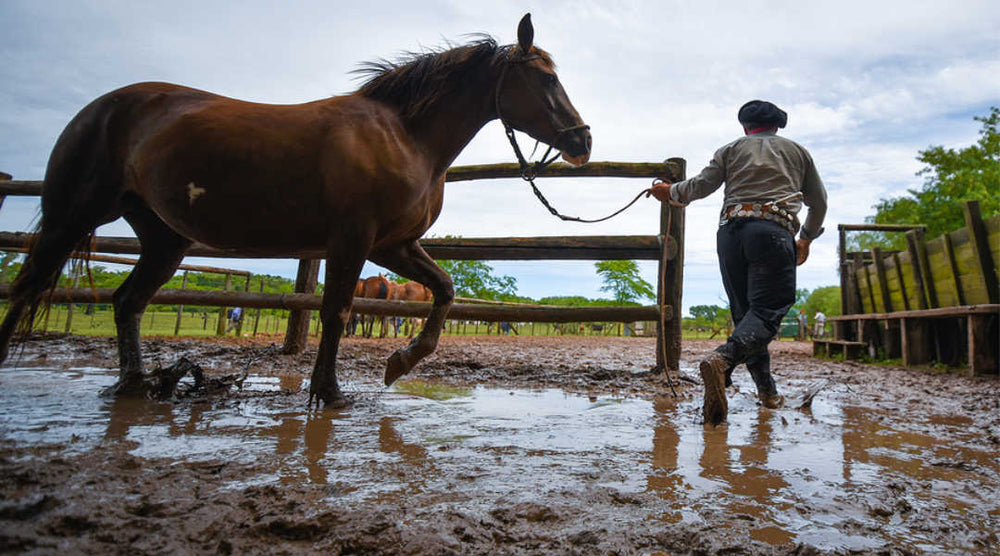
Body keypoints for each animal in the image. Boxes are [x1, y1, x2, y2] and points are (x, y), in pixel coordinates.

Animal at [0, 14, 588, 408]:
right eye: (545, 78)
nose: (582, 140)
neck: (402, 135)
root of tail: (99, 108)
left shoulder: (392, 245)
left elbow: (443, 291)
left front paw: (398, 364)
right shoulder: (353, 241)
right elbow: (338, 312)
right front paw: (328, 392)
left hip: (165, 240)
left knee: (126, 302)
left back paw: (135, 384)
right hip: (71, 216)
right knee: (28, 287)